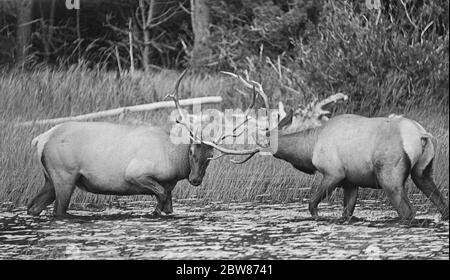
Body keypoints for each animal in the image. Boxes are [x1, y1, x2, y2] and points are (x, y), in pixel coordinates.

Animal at [28, 69, 266, 218]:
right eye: (191, 151)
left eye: (210, 156)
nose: (195, 179)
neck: (173, 163)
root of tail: (41, 139)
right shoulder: (135, 174)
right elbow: (159, 197)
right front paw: (152, 213)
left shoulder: (169, 186)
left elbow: (168, 205)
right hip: (64, 175)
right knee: (57, 211)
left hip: (50, 178)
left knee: (33, 206)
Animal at [227, 73, 448, 222]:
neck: (310, 149)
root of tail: (421, 135)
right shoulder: (351, 182)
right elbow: (346, 212)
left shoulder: (334, 173)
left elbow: (312, 205)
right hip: (423, 171)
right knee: (442, 205)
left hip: (389, 175)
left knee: (408, 211)